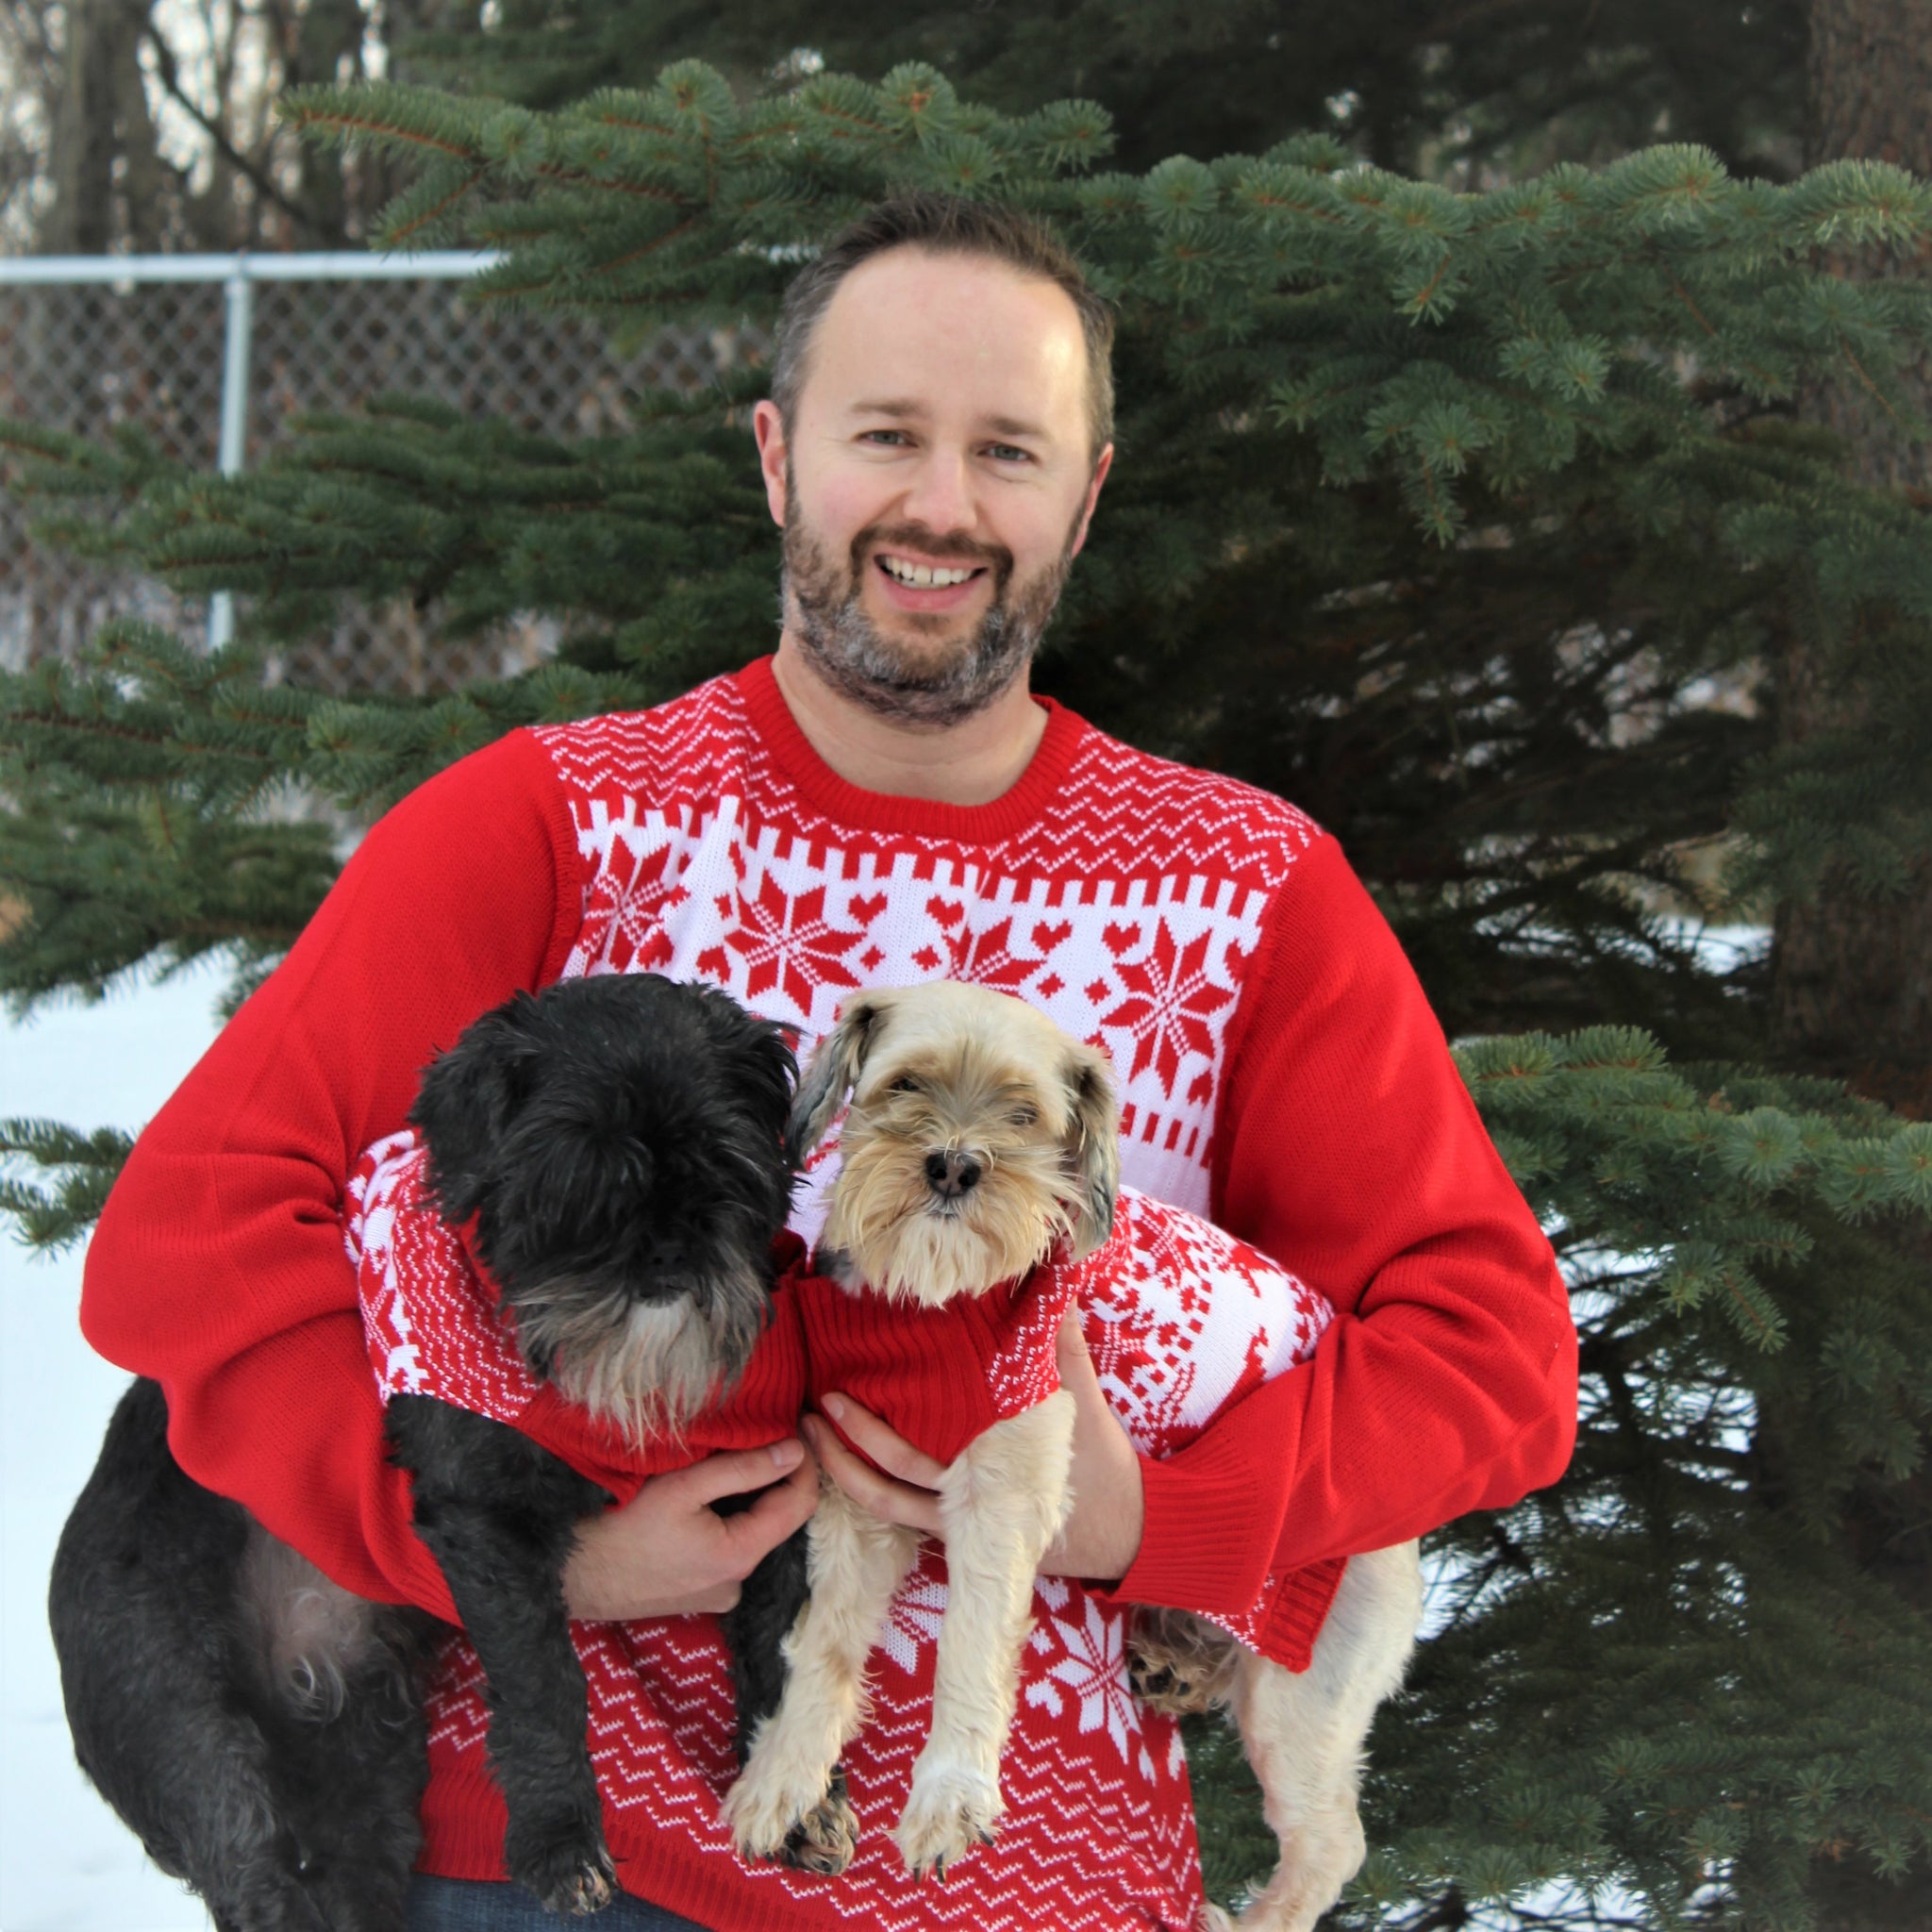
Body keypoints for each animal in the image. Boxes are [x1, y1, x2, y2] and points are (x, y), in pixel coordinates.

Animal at [48, 974, 811, 1932]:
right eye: (572, 1175)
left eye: (725, 1160)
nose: (668, 1255)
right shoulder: (486, 1525)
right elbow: (544, 1684)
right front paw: (561, 1843)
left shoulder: (770, 1501)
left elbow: (781, 1648)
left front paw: (794, 1802)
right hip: (191, 1737)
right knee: (258, 1883)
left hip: (369, 1756)